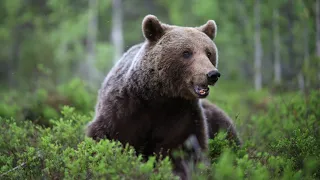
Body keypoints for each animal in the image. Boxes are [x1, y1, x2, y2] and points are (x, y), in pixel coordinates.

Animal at [85, 14, 240, 180]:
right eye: (187, 52)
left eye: (209, 52)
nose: (212, 74)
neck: (160, 96)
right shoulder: (124, 109)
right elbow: (107, 137)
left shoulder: (181, 114)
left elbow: (182, 148)